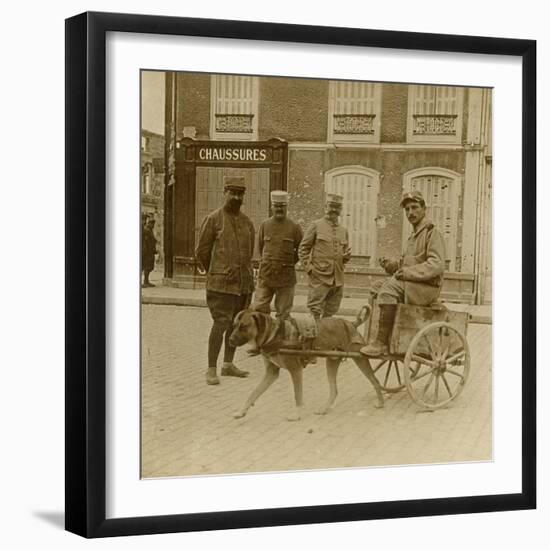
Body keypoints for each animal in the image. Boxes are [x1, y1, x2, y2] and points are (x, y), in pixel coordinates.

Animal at [229, 310, 384, 422]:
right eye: (234, 325)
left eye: (244, 326)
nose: (230, 340)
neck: (274, 336)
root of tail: (352, 323)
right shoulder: (271, 373)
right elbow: (254, 393)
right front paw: (241, 411)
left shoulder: (295, 370)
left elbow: (298, 396)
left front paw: (297, 415)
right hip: (332, 362)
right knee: (334, 390)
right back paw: (324, 409)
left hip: (360, 359)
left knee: (375, 381)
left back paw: (381, 403)